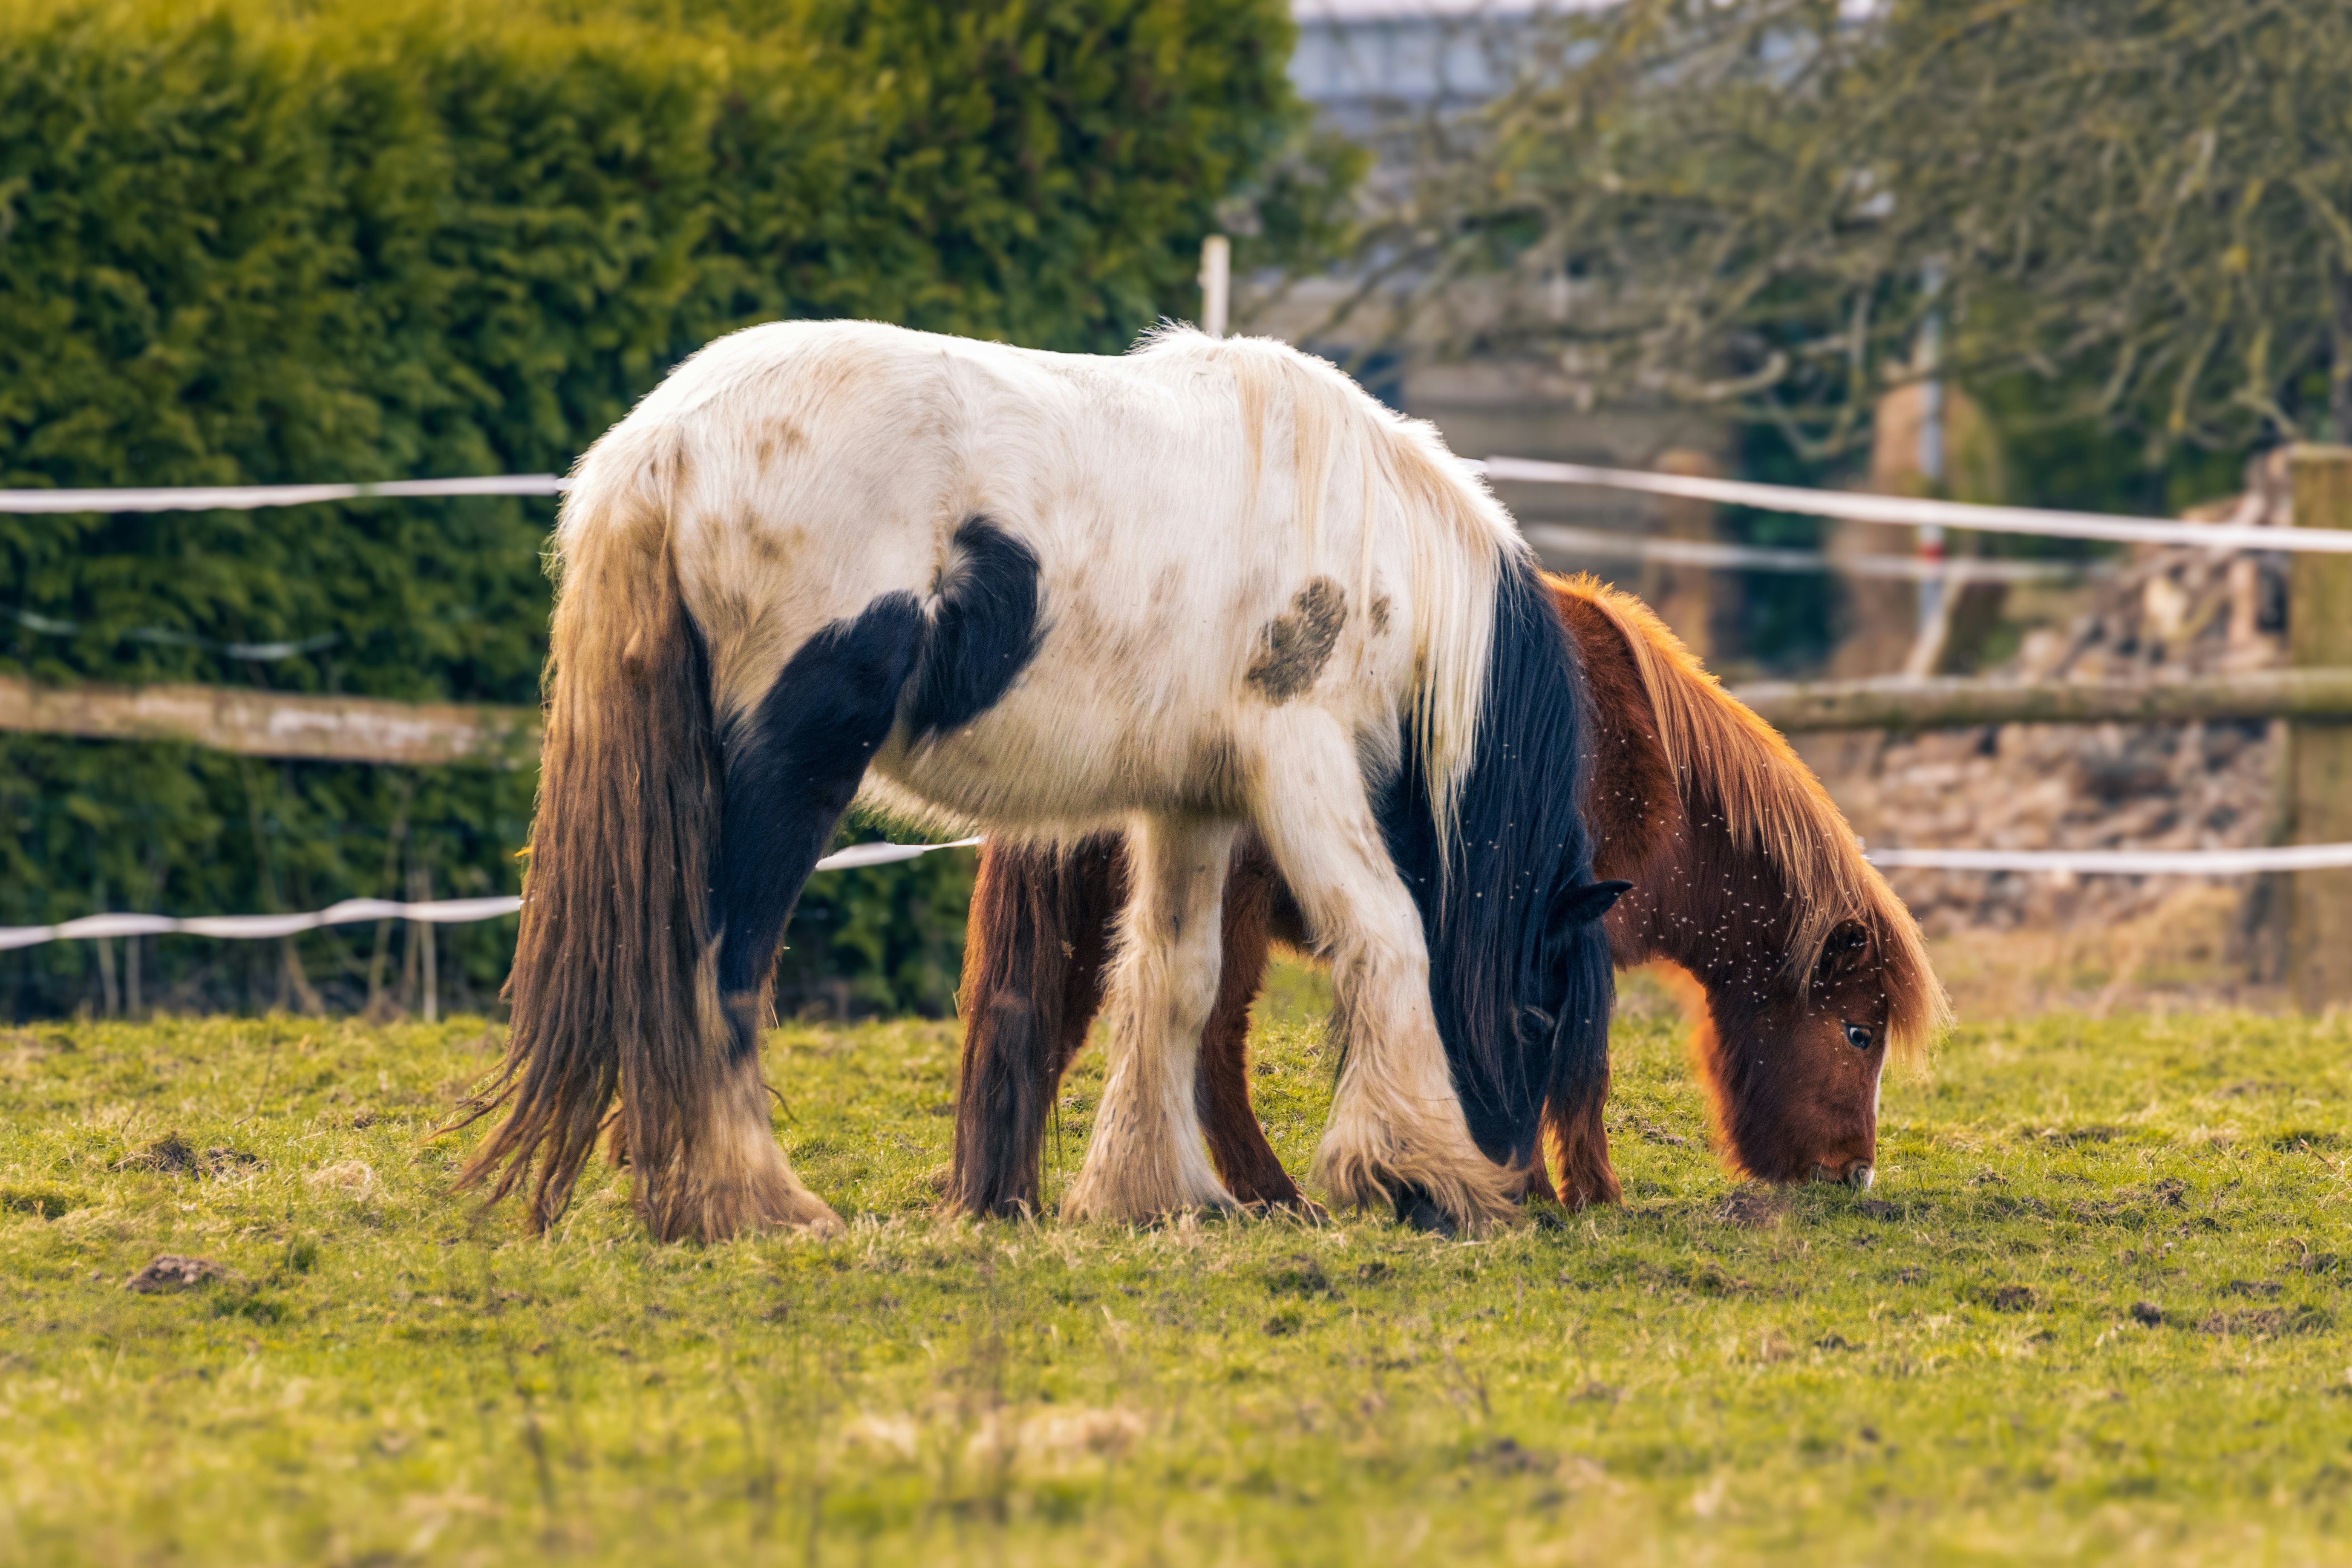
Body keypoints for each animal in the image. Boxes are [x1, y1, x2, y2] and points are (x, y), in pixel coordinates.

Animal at [454, 320, 1629, 1243]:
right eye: (1538, 1012)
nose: (1525, 1191)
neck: (1372, 535)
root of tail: (665, 444)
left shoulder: (1196, 802)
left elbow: (1174, 976)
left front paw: (1150, 1190)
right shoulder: (1299, 756)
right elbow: (1386, 932)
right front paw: (1418, 1166)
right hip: (791, 771)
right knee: (724, 965)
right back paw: (752, 1204)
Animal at [946, 573, 1947, 1221]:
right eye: (1859, 1033)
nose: (1853, 1175)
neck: (1646, 755)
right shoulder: (1562, 939)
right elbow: (1571, 1069)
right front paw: (1576, 1195)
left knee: (1039, 1024)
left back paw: (1010, 1199)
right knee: (1210, 1046)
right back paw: (1274, 1197)